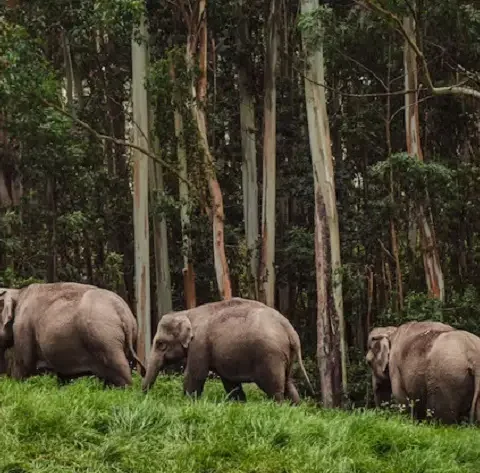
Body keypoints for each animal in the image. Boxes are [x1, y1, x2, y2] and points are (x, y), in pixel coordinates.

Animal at [0, 282, 146, 386]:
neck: (18, 292)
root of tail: (122, 311)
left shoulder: (23, 328)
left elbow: (23, 365)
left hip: (105, 337)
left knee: (120, 368)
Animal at [142, 296, 316, 402]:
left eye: (160, 344)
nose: (144, 396)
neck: (187, 313)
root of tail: (289, 329)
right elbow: (230, 382)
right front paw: (239, 403)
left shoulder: (199, 343)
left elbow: (195, 374)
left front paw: (187, 402)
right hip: (286, 356)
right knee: (289, 384)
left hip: (270, 356)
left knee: (274, 389)